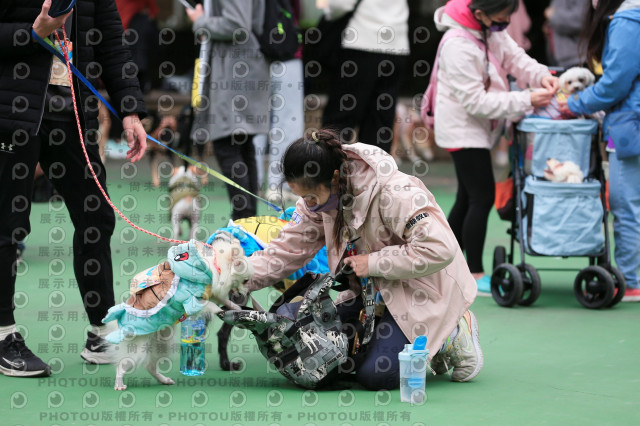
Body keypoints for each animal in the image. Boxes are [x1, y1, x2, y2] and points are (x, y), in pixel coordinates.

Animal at [102, 233, 253, 390]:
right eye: (245, 280)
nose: (245, 294)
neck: (216, 266)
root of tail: (120, 323)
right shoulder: (192, 300)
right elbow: (211, 305)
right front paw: (221, 311)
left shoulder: (212, 292)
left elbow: (223, 300)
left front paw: (236, 308)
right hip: (137, 350)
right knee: (121, 366)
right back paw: (119, 384)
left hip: (163, 343)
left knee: (150, 366)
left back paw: (164, 380)